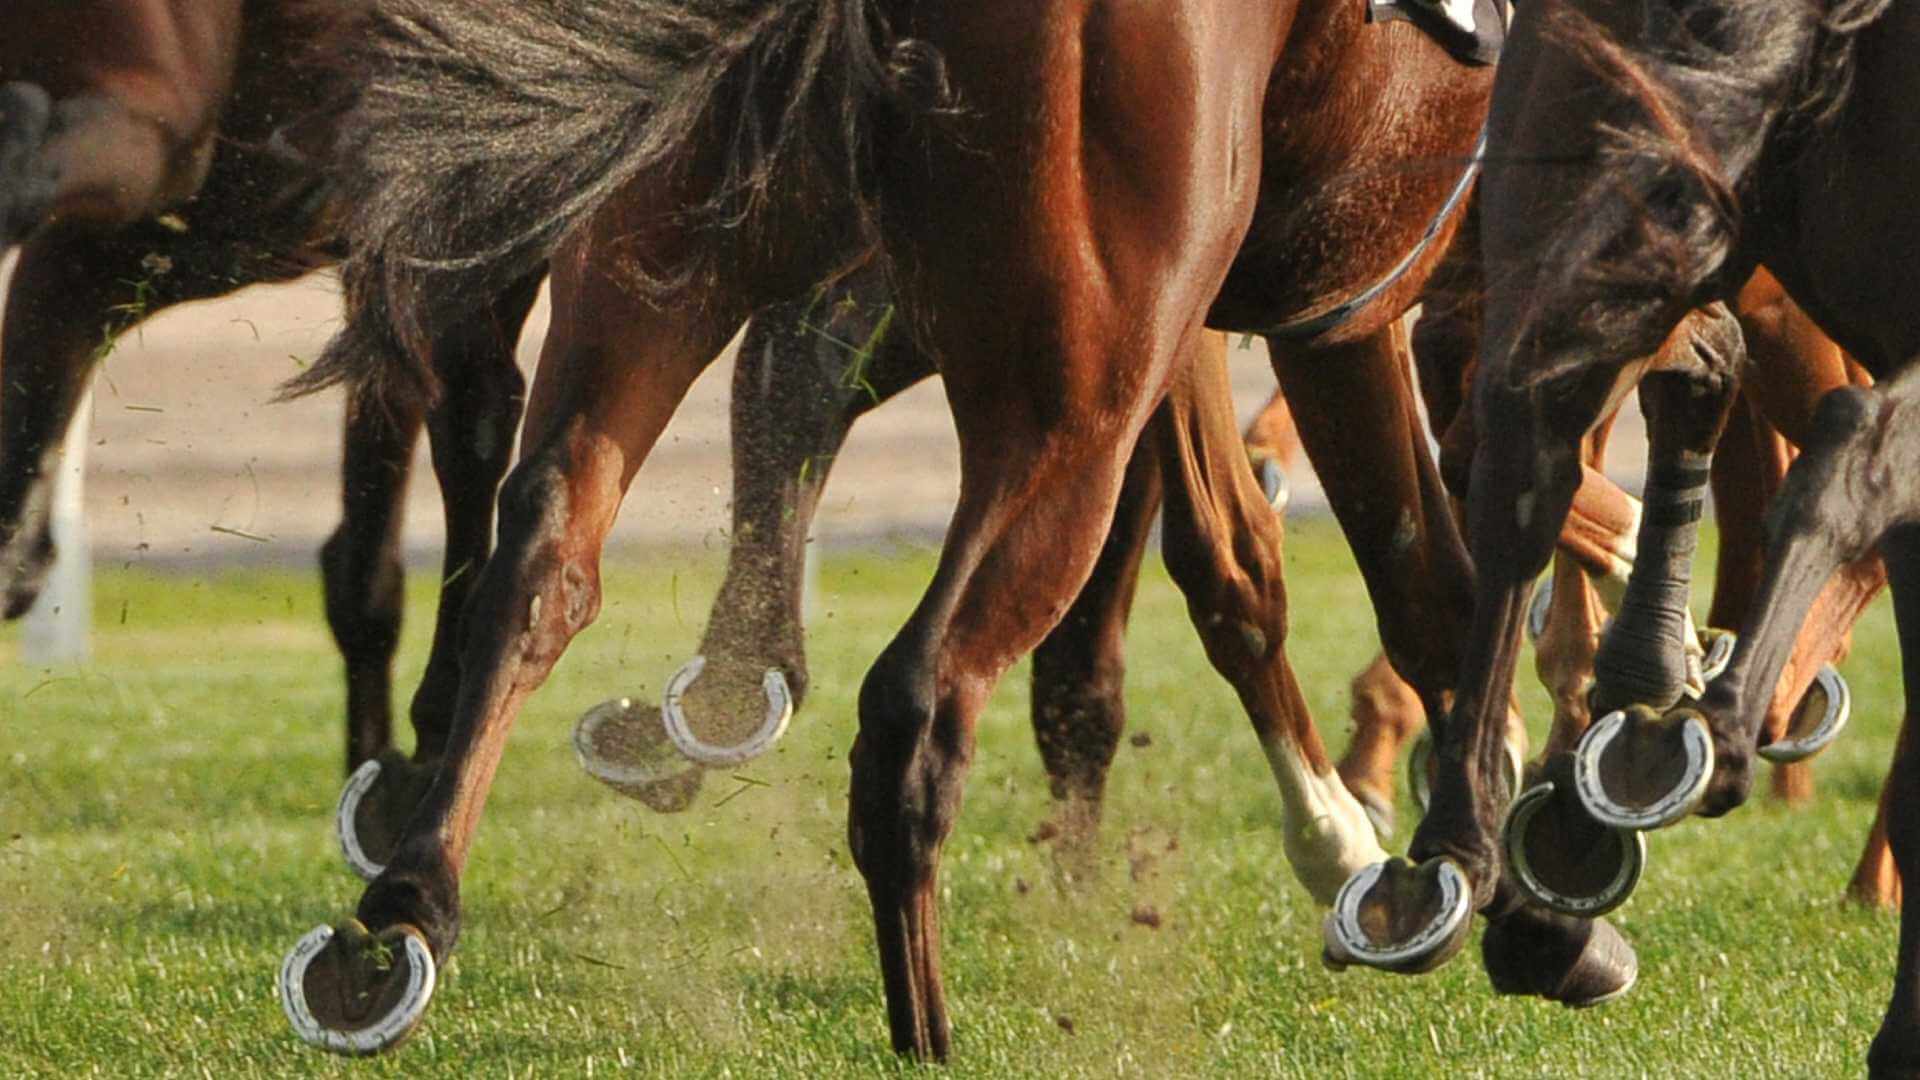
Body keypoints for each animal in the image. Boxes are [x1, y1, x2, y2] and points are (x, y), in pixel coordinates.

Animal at [273, 0, 1529, 1058]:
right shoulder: (1341, 303)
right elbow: (1400, 582)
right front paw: (1449, 859)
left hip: (664, 251)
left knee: (549, 552)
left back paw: (402, 917)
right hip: (1064, 407)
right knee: (920, 693)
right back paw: (924, 1024)